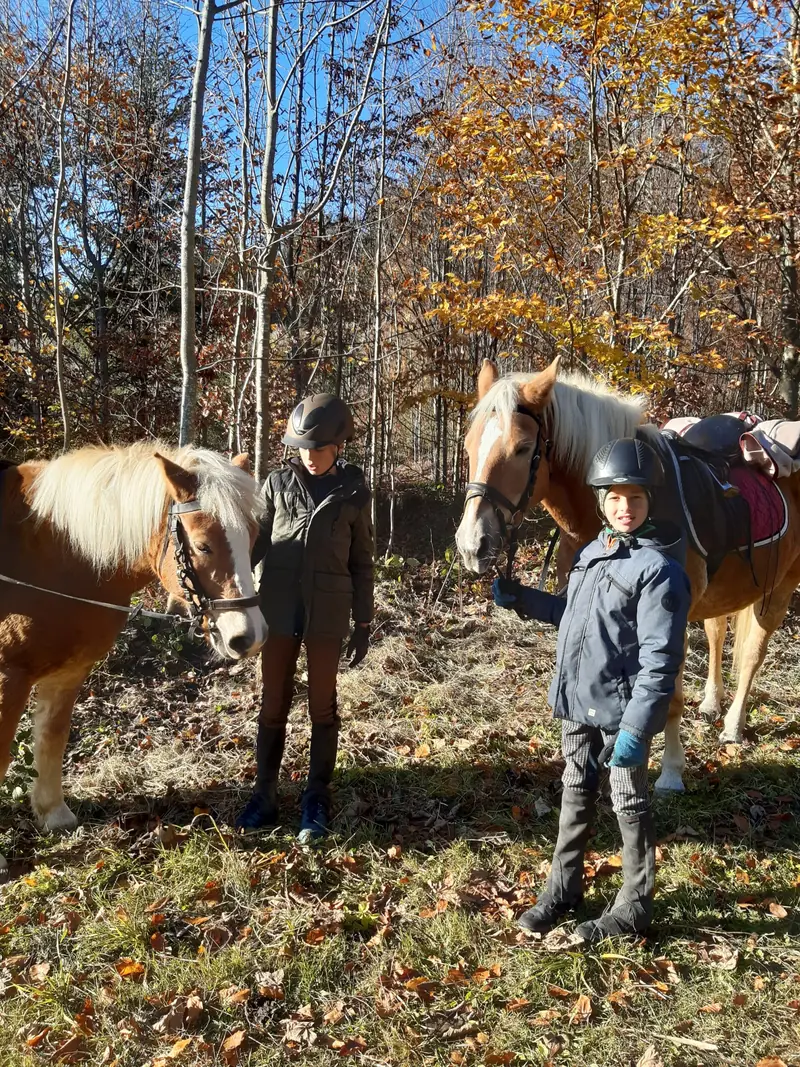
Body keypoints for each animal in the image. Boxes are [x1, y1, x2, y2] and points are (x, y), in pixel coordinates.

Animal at [0, 441, 268, 869]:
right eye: (203, 545)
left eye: (253, 537)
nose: (250, 637)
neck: (51, 549)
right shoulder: (9, 676)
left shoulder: (68, 673)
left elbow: (52, 737)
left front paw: (53, 814)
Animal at [455, 358, 800, 792]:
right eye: (470, 446)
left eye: (521, 448)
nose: (472, 544)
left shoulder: (668, 620)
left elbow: (667, 698)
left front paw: (669, 772)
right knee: (718, 633)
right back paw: (710, 703)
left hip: (782, 586)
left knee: (753, 653)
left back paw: (733, 725)